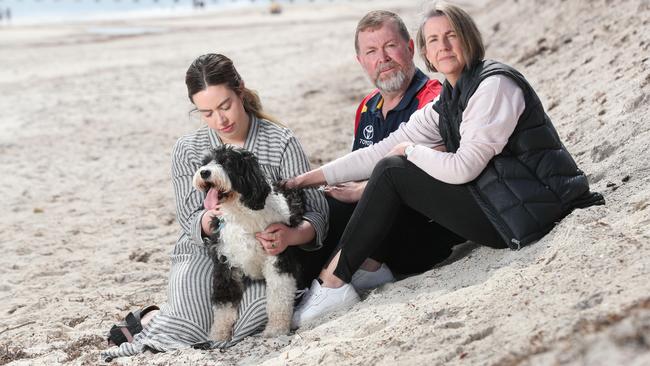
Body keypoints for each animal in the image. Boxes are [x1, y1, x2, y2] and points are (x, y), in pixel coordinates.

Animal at [192, 144, 304, 338]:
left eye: (227, 162)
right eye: (205, 162)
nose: (204, 172)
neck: (241, 214)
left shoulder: (279, 258)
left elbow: (279, 297)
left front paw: (276, 329)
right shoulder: (225, 263)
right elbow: (223, 304)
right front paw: (218, 335)